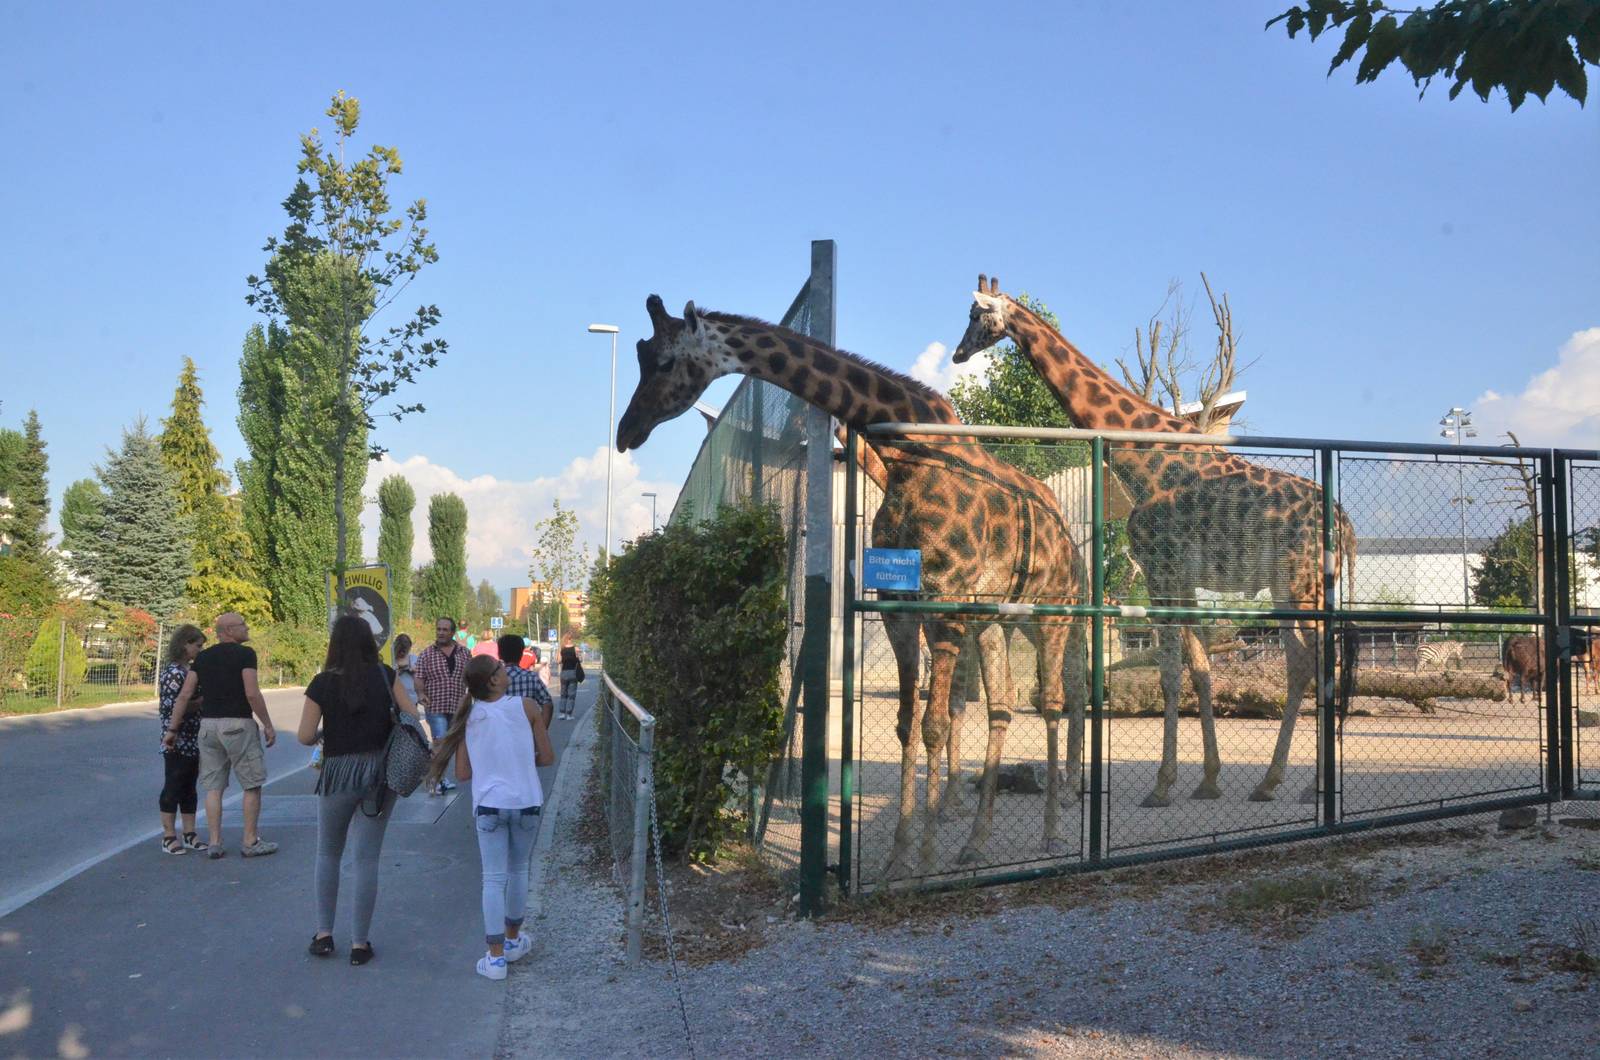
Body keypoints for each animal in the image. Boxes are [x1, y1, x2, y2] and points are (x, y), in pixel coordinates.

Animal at [617, 294, 1087, 874]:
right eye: (640, 357)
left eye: (664, 362)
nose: (626, 431)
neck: (907, 456)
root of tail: (1065, 533)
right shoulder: (897, 606)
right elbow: (909, 724)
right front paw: (898, 856)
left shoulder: (943, 603)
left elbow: (934, 725)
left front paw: (923, 858)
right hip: (994, 620)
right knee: (1000, 708)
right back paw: (976, 842)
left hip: (1052, 612)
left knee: (1052, 702)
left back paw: (1052, 833)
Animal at [952, 276, 1356, 805]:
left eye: (975, 315)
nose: (957, 353)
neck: (1143, 460)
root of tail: (1344, 522)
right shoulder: (1179, 580)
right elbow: (1200, 669)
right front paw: (1208, 779)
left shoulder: (1162, 571)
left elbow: (1169, 675)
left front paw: (1163, 785)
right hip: (1292, 588)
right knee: (1303, 663)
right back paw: (1276, 782)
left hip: (1301, 584)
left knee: (1314, 661)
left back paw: (1302, 783)